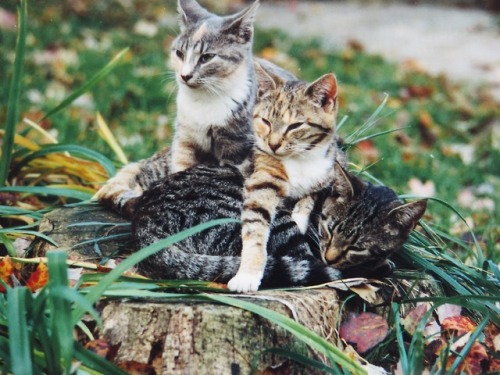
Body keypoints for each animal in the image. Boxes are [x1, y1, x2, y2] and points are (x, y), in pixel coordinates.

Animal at [92, 0, 262, 217]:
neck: (204, 101)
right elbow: (180, 171)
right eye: (180, 54)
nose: (185, 75)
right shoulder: (184, 141)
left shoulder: (236, 149)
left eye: (207, 57)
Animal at [229, 64, 342, 294]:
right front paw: (248, 274)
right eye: (265, 121)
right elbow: (255, 229)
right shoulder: (261, 182)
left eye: (295, 126)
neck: (301, 159)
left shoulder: (326, 175)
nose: (272, 145)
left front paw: (299, 217)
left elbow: (308, 198)